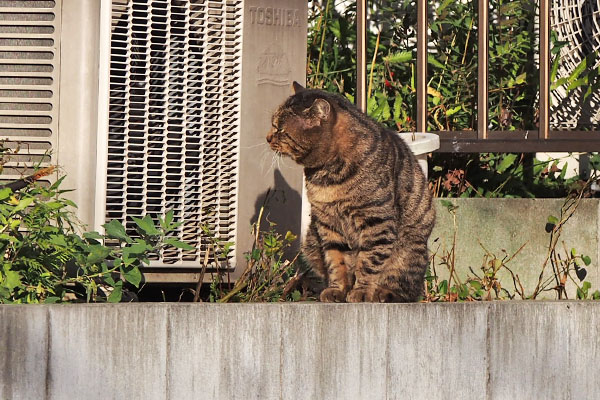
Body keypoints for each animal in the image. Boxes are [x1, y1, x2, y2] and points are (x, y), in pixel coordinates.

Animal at [268, 82, 436, 304]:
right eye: (274, 125)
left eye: (279, 129)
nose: (267, 137)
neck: (329, 176)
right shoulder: (327, 224)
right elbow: (335, 261)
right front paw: (337, 289)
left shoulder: (376, 221)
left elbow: (369, 262)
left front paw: (361, 291)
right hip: (311, 240)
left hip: (409, 249)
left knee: (406, 289)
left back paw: (383, 294)